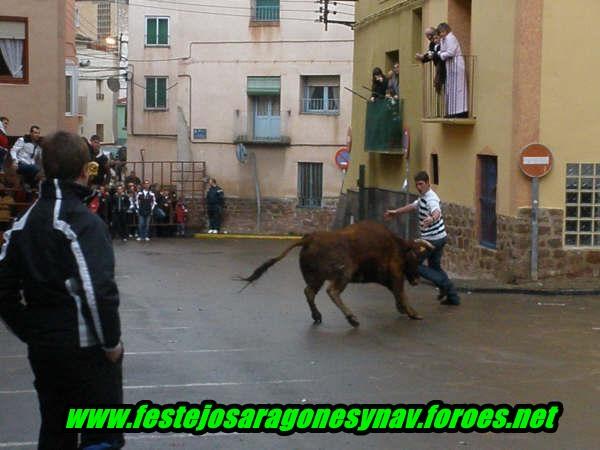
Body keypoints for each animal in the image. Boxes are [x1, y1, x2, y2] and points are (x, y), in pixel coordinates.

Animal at [241, 221, 434, 326]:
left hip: (316, 279)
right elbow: (401, 293)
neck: (398, 245)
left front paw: (405, 310)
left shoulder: (389, 279)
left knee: (309, 292)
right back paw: (352, 318)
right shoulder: (396, 274)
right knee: (332, 291)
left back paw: (317, 316)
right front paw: (414, 313)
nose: (417, 279)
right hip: (343, 274)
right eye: (416, 258)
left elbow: (398, 294)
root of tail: (309, 238)